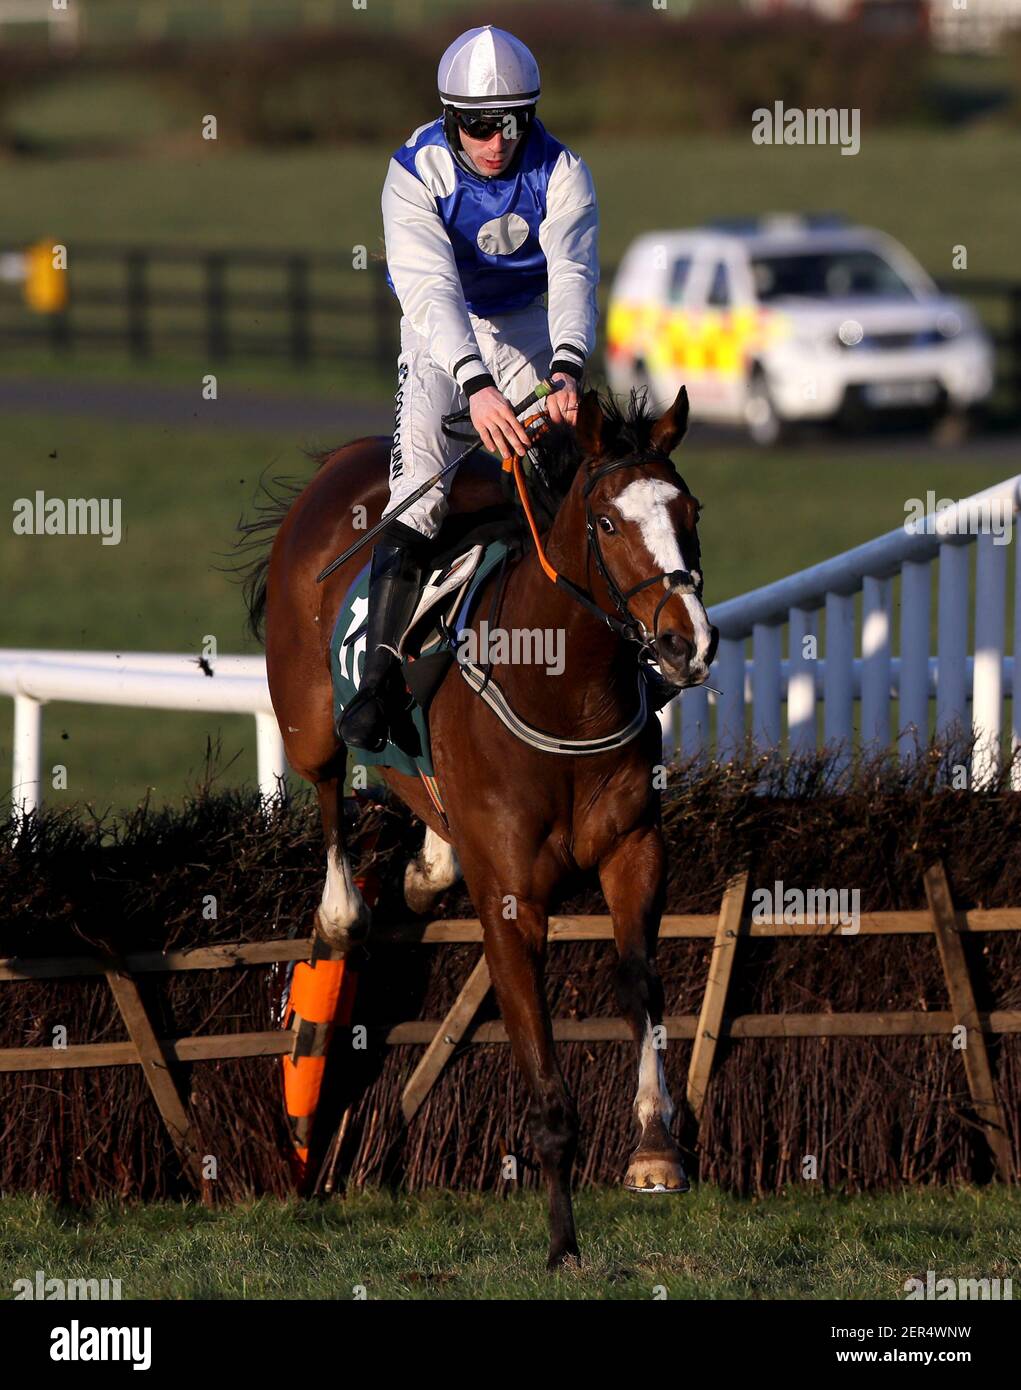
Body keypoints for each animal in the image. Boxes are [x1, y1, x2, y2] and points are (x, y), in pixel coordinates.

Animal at [243, 386, 716, 1267]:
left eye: (689, 511)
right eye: (607, 523)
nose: (686, 644)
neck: (563, 690)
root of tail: (342, 461)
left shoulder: (635, 852)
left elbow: (639, 980)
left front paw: (655, 1149)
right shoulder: (510, 902)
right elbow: (538, 1056)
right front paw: (563, 1242)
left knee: (425, 831)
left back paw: (426, 864)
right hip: (308, 719)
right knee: (328, 809)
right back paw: (342, 917)